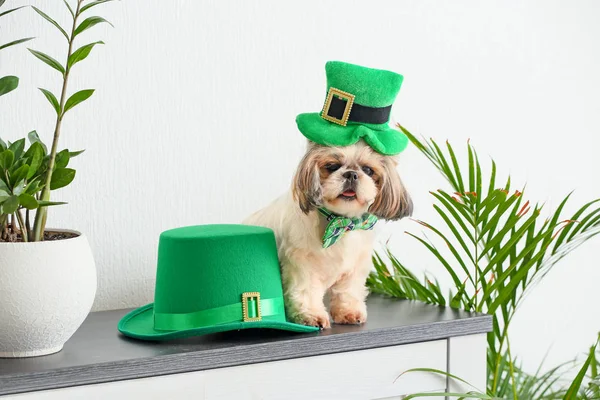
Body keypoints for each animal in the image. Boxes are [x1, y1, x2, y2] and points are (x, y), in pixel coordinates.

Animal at [245, 141, 412, 328]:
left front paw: (349, 312)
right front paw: (311, 316)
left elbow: (348, 290)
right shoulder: (302, 265)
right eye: (332, 166)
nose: (351, 174)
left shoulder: (355, 266)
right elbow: (306, 290)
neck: (340, 223)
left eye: (368, 170)